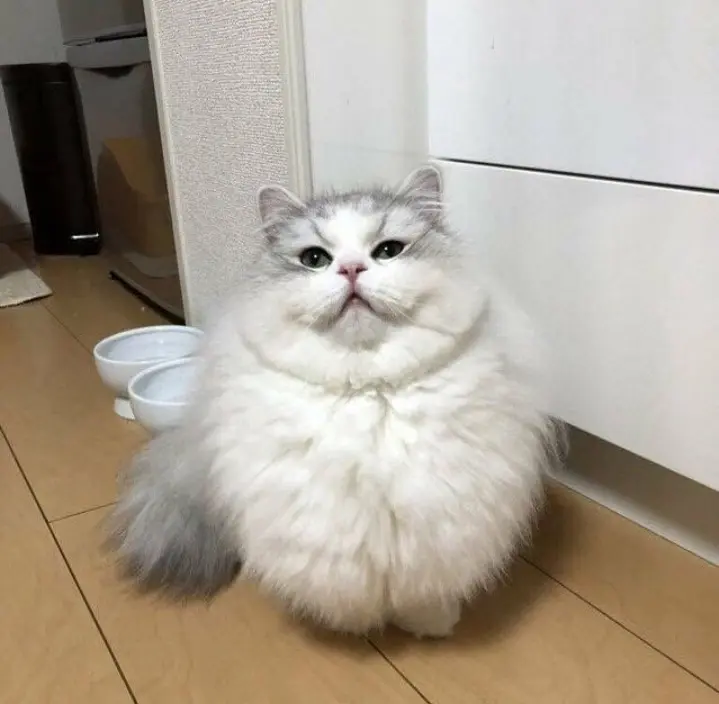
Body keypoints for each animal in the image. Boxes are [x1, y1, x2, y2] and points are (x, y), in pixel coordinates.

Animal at [109, 164, 559, 638]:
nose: (351, 269)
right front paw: (353, 625)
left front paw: (430, 623)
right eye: (315, 259)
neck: (367, 390)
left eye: (388, 251)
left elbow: (421, 594)